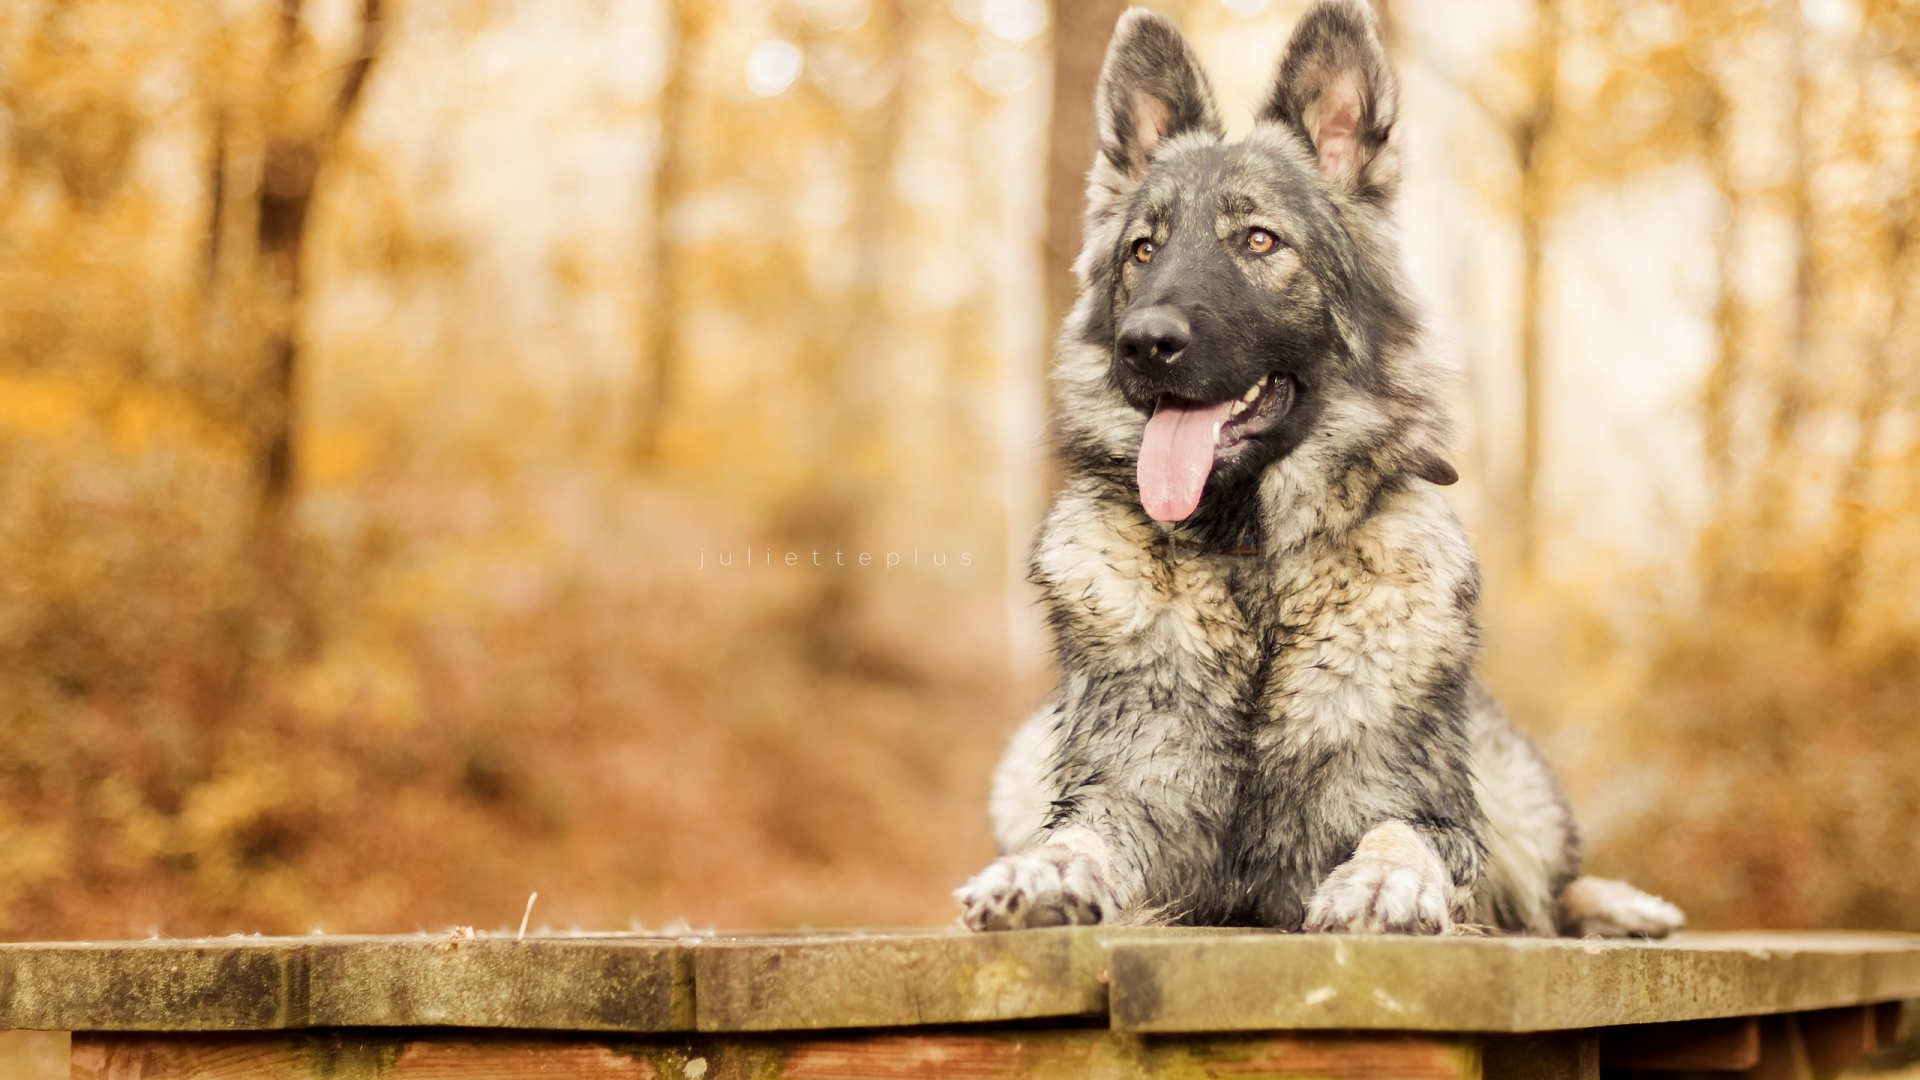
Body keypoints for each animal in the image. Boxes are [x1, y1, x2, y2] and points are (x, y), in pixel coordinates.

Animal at [956, 0, 1681, 933]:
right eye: (1142, 251)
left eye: (1260, 240)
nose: (1143, 344)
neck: (1253, 564)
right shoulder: (1134, 800)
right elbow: (1076, 836)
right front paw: (1038, 876)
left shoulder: (1426, 806)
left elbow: (1402, 836)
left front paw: (1381, 884)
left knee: (1551, 890)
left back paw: (1622, 903)